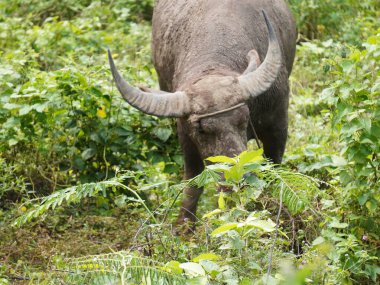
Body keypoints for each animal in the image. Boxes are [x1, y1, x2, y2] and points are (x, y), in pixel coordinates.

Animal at [107, 1, 296, 225]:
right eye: (201, 130)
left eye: (245, 119)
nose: (238, 178)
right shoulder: (186, 138)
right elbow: (192, 183)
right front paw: (183, 226)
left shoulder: (277, 125)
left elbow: (274, 170)